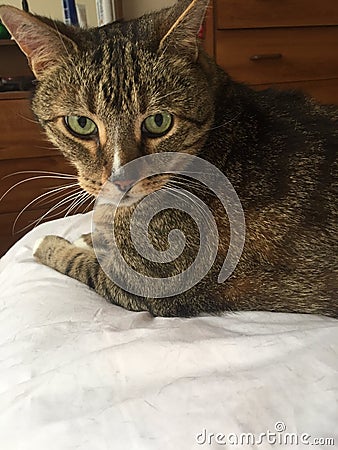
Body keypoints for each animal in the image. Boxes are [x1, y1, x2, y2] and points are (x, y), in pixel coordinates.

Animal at [0, 0, 336, 316]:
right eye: (81, 124)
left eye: (158, 121)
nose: (122, 180)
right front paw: (89, 235)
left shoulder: (147, 284)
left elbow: (81, 262)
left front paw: (52, 243)